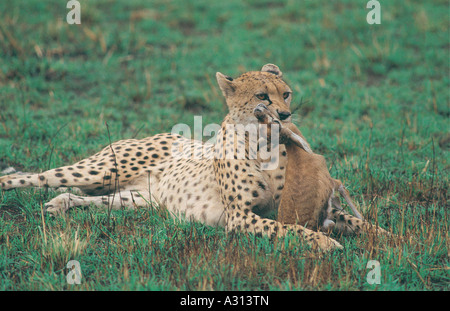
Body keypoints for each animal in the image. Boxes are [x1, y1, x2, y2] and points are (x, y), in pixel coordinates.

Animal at [0, 64, 342, 252]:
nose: (284, 115)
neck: (263, 145)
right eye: (262, 96)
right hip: (98, 170)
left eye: (286, 94)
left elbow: (334, 219)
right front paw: (326, 243)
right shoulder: (239, 216)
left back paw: (60, 203)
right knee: (32, 177)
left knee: (90, 198)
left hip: (138, 200)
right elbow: (288, 229)